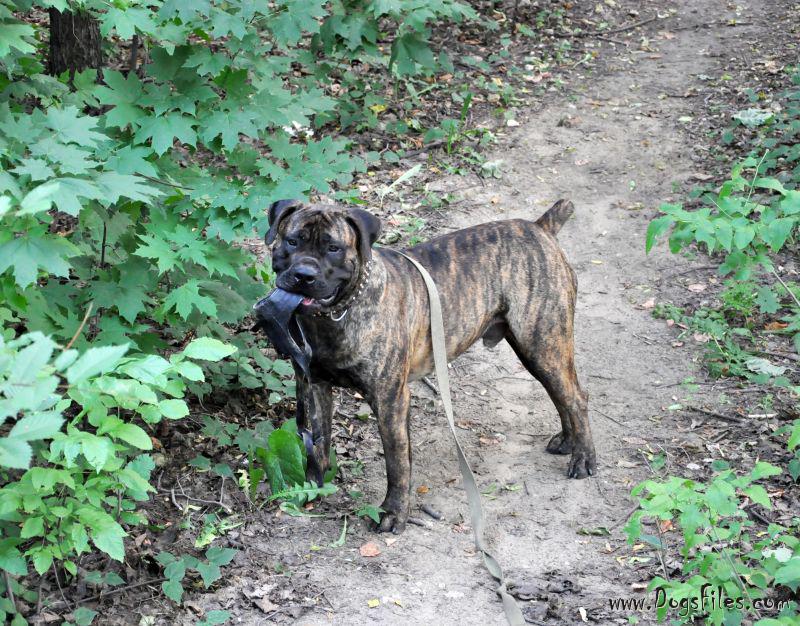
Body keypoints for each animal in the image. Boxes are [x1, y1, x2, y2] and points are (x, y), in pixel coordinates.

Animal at [266, 199, 596, 532]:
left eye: (333, 248)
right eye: (292, 241)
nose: (303, 274)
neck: (336, 315)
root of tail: (540, 228)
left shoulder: (390, 401)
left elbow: (397, 461)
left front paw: (393, 512)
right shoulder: (315, 386)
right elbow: (317, 445)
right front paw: (311, 488)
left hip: (543, 342)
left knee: (575, 397)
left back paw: (583, 458)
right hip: (540, 350)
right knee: (561, 394)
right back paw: (568, 441)